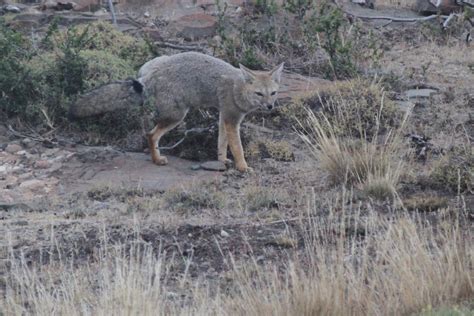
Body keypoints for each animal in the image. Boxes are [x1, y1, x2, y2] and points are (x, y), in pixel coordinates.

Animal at [139, 51, 284, 172]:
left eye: (273, 93)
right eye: (259, 94)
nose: (270, 106)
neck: (237, 89)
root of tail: (155, 71)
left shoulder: (223, 116)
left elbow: (222, 142)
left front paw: (222, 160)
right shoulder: (231, 120)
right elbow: (237, 148)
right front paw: (243, 167)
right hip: (176, 116)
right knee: (151, 135)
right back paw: (157, 160)